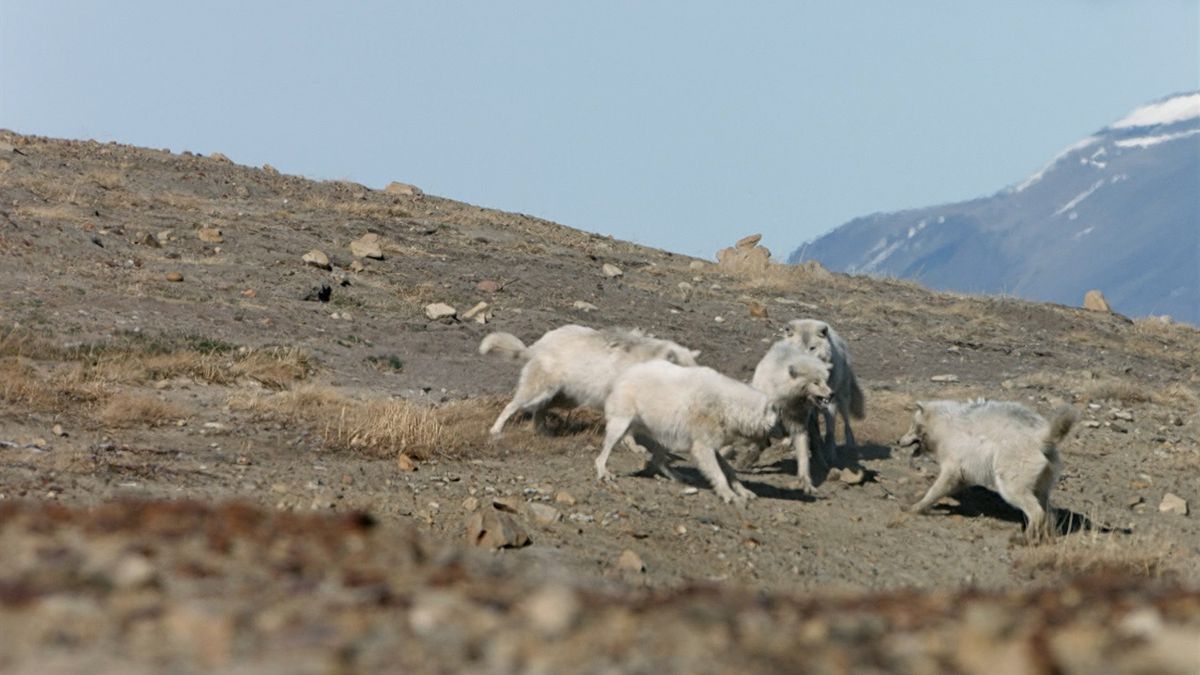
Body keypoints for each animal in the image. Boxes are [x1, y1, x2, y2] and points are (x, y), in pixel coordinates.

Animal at [480, 324, 700, 437]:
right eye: (685, 376)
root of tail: (538, 344)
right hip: (538, 389)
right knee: (512, 405)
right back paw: (496, 430)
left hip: (565, 398)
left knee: (539, 410)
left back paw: (541, 432)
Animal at [592, 357, 835, 504]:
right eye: (780, 418)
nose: (796, 431)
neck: (730, 406)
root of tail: (624, 373)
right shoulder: (703, 448)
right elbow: (719, 474)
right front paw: (729, 495)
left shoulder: (714, 447)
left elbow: (730, 472)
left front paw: (743, 492)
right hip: (620, 426)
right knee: (602, 455)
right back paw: (604, 473)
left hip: (664, 438)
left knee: (658, 460)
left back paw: (679, 478)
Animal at [787, 317, 864, 456]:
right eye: (796, 348)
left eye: (812, 348)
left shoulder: (830, 401)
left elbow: (830, 429)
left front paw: (830, 452)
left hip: (843, 398)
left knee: (847, 422)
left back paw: (850, 445)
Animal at [897, 398, 1084, 540]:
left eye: (912, 425)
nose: (898, 441)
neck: (942, 425)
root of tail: (1042, 437)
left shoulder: (955, 459)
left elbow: (940, 485)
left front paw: (917, 506)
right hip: (1042, 478)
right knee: (1046, 508)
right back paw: (1046, 534)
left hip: (1012, 474)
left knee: (1035, 509)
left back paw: (1026, 537)